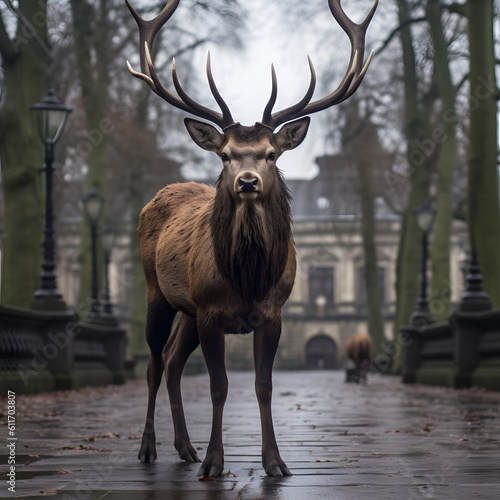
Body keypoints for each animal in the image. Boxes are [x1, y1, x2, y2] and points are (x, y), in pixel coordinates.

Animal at [126, 0, 378, 478]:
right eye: (225, 154)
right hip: (157, 293)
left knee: (172, 361)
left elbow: (263, 385)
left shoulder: (272, 313)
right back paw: (149, 449)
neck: (247, 277)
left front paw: (275, 462)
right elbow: (220, 386)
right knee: (152, 362)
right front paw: (215, 462)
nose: (246, 181)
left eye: (271, 153)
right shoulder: (210, 312)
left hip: (187, 311)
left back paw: (184, 448)